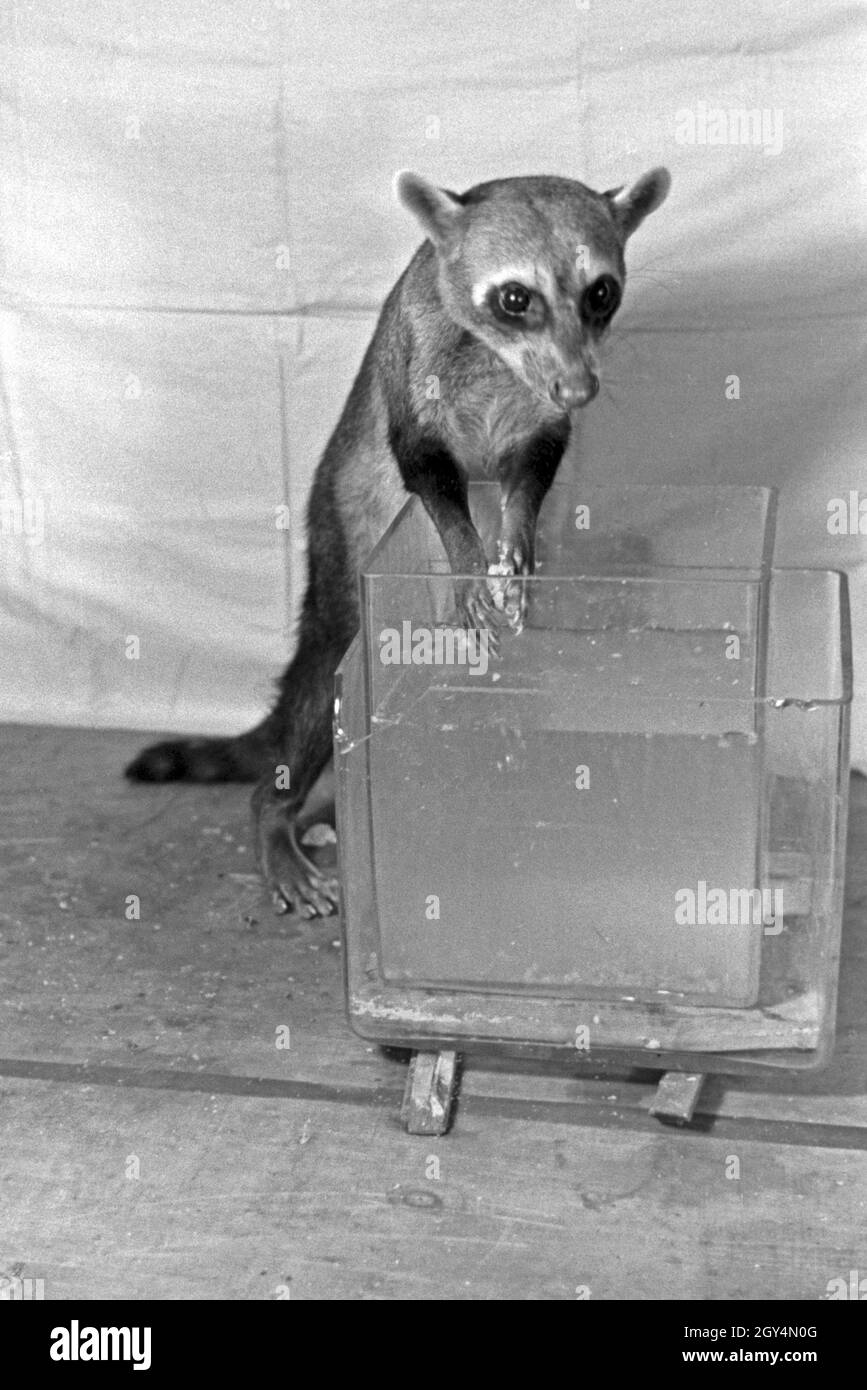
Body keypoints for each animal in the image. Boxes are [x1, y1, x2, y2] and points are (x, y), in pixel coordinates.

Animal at [127, 168, 669, 917]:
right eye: (514, 297)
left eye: (600, 291)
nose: (580, 387)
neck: (500, 362)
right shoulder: (415, 361)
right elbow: (426, 473)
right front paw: (467, 556)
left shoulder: (538, 417)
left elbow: (532, 472)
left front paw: (516, 533)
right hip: (338, 548)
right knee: (311, 708)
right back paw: (277, 816)